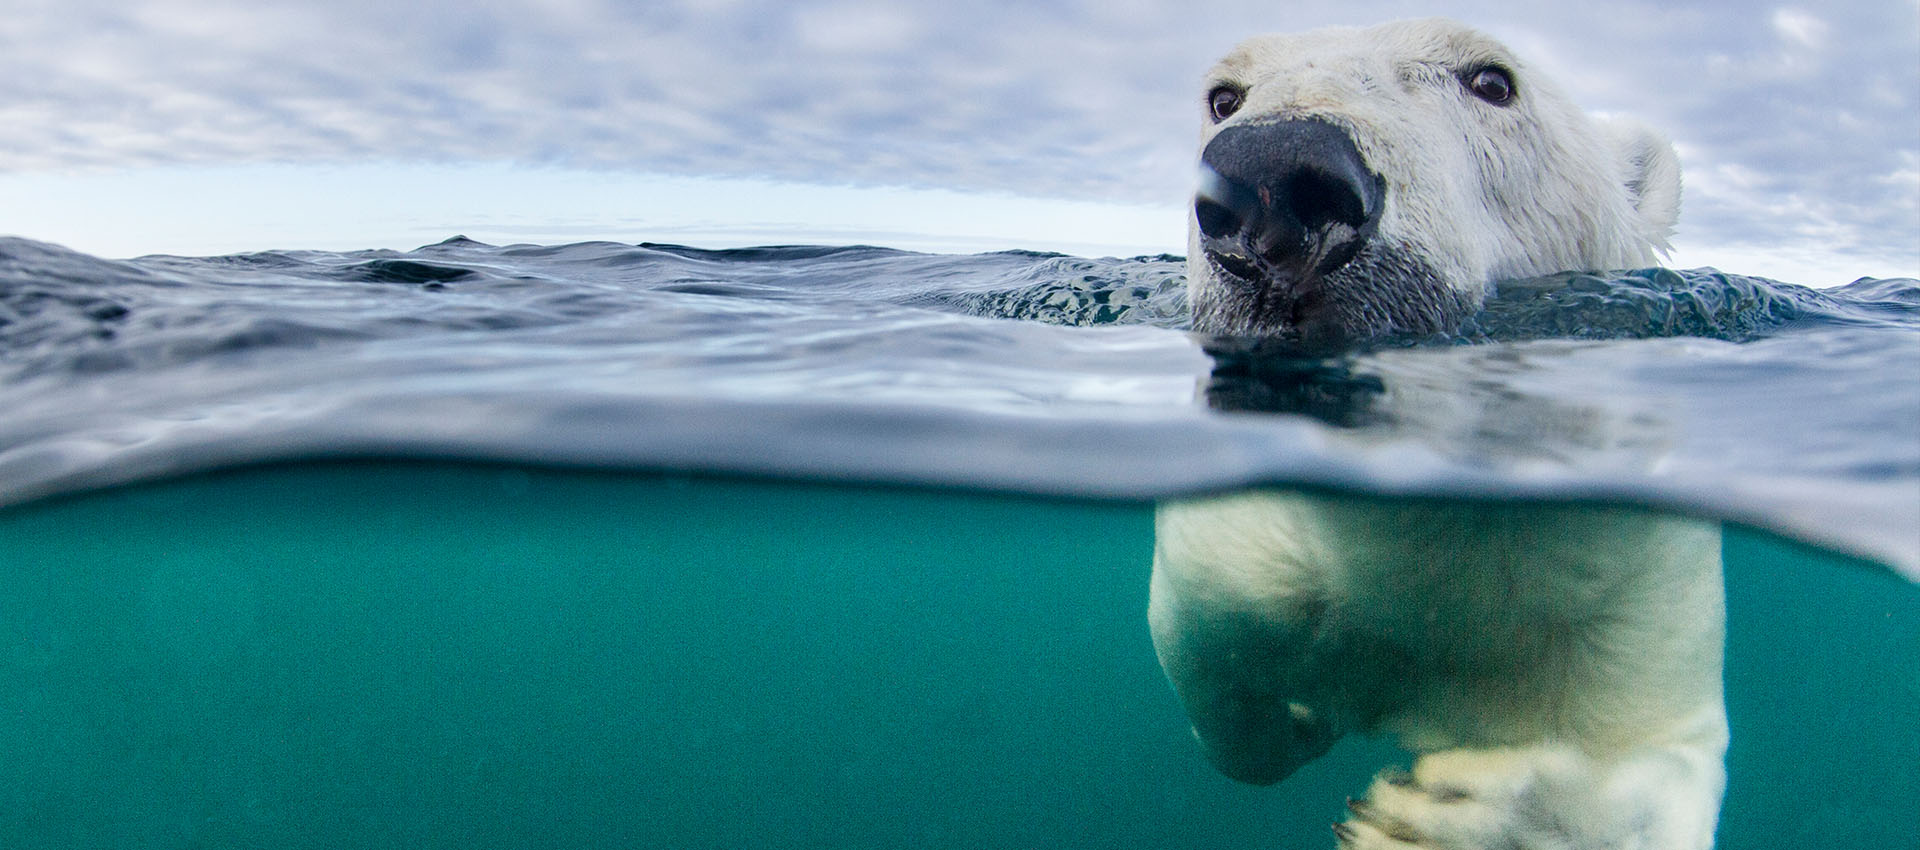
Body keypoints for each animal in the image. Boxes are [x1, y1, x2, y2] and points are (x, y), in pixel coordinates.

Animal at [1144, 18, 1735, 850]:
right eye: (1224, 96)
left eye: (1491, 80)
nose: (1271, 178)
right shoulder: (1242, 545)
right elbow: (1206, 650)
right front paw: (1299, 720)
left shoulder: (1635, 585)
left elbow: (1657, 760)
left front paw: (1439, 812)